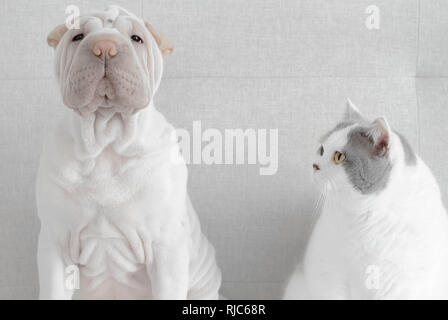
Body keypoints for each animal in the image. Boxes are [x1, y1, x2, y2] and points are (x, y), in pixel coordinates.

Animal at [36, 5, 220, 300]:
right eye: (78, 37)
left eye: (137, 39)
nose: (104, 47)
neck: (106, 139)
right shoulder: (56, 244)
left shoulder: (166, 248)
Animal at [286, 100, 448, 300]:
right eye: (322, 150)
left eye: (339, 156)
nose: (314, 166)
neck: (362, 218)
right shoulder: (329, 273)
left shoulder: (395, 285)